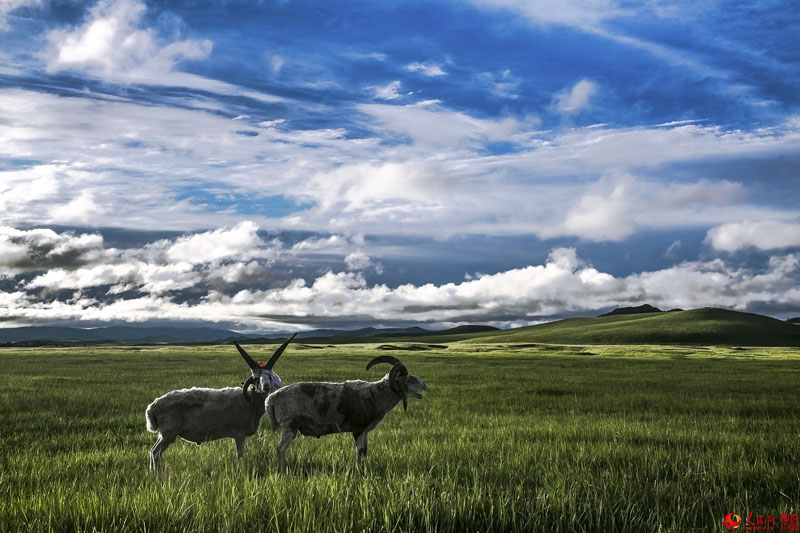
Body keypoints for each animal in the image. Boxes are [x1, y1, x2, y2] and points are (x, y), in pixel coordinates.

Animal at [145, 334, 296, 468]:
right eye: (256, 378)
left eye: (270, 377)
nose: (266, 386)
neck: (249, 401)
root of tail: (152, 407)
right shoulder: (239, 434)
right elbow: (240, 455)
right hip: (168, 434)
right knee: (155, 453)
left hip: (164, 435)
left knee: (153, 451)